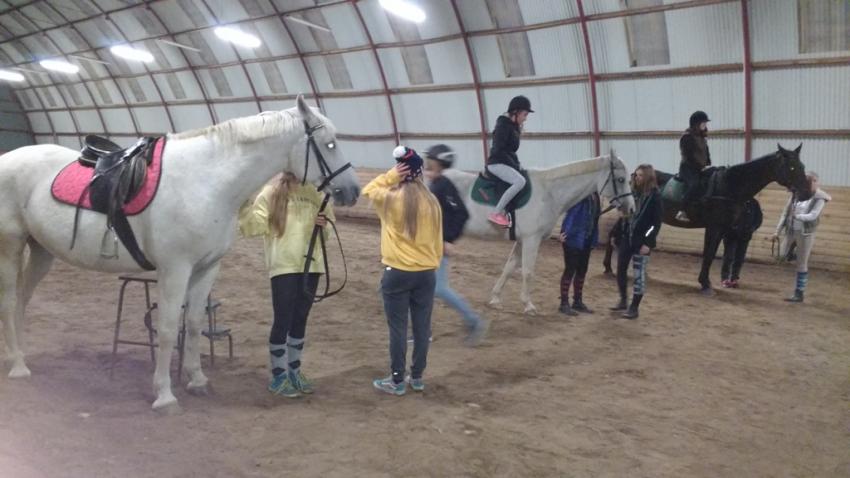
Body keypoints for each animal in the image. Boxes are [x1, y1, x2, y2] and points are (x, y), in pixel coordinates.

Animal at [0, 96, 360, 411]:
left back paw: (18, 355)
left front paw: (197, 380)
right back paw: (18, 366)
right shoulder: (175, 269)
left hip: (42, 251)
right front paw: (164, 395)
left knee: (22, 300)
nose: (352, 191)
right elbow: (168, 327)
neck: (206, 181)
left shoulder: (207, 268)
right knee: (10, 300)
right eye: (329, 143)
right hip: (11, 247)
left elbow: (195, 323)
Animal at [443, 153, 635, 314]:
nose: (631, 209)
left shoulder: (521, 240)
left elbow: (510, 267)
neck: (548, 192)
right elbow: (528, 271)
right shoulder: (531, 239)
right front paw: (528, 305)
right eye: (620, 179)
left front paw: (496, 298)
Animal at [656, 143, 809, 295]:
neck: (727, 186)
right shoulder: (714, 227)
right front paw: (705, 284)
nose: (806, 192)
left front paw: (705, 282)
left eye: (802, 166)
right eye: (792, 167)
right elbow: (709, 254)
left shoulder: (722, 229)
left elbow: (712, 254)